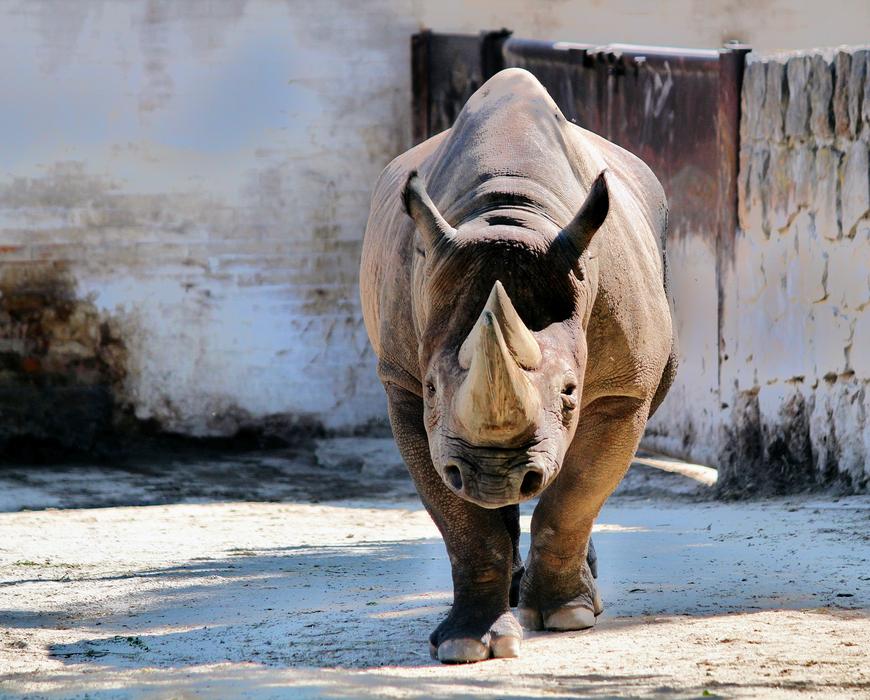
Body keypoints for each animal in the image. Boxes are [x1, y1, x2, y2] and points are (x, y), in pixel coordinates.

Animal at [360, 68, 676, 663]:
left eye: (570, 392)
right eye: (432, 389)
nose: (496, 474)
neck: (509, 217)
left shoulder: (624, 389)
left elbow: (575, 496)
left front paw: (566, 616)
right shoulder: (403, 386)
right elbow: (463, 522)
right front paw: (466, 642)